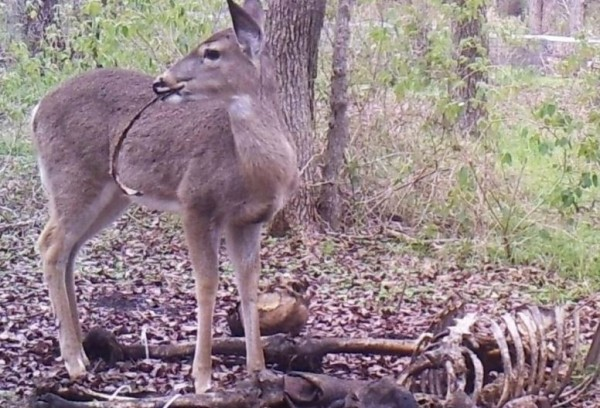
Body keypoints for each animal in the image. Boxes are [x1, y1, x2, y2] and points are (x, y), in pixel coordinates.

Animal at [30, 0, 298, 394]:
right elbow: (207, 284)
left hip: (112, 194)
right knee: (50, 245)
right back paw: (74, 360)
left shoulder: (248, 221)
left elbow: (249, 286)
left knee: (69, 249)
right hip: (72, 177)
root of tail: (36, 111)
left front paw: (258, 371)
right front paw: (202, 378)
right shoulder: (196, 202)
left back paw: (83, 348)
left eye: (212, 52)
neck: (253, 168)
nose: (163, 81)